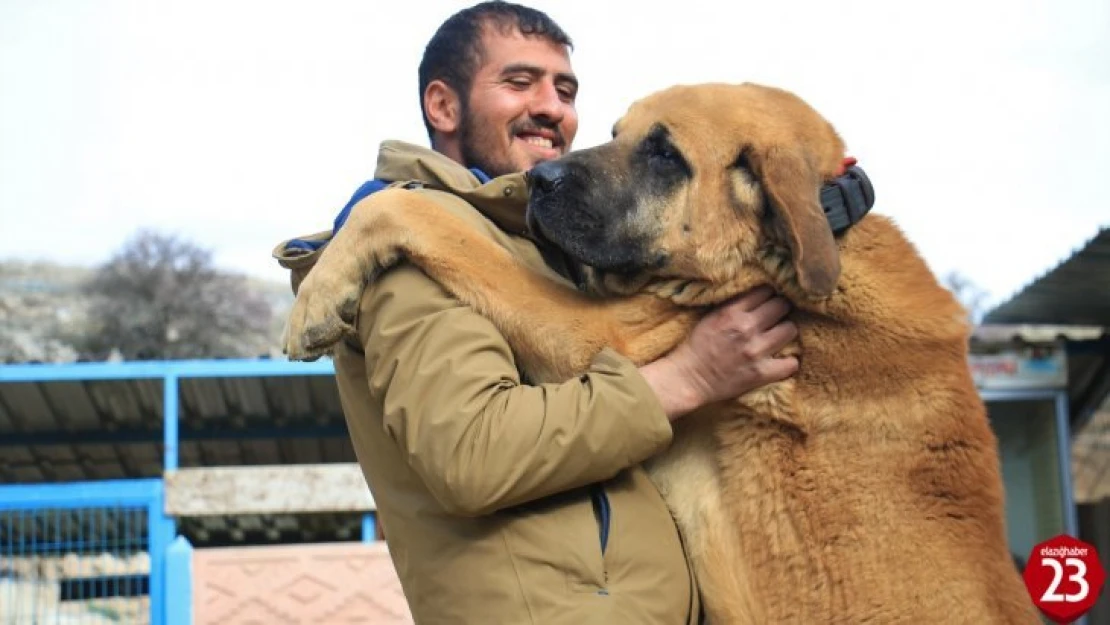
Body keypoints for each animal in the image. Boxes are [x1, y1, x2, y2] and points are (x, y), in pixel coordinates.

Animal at [281, 84, 1034, 625]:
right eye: (615, 134)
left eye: (665, 154)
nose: (541, 179)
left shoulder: (601, 334)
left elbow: (418, 213)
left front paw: (316, 289)